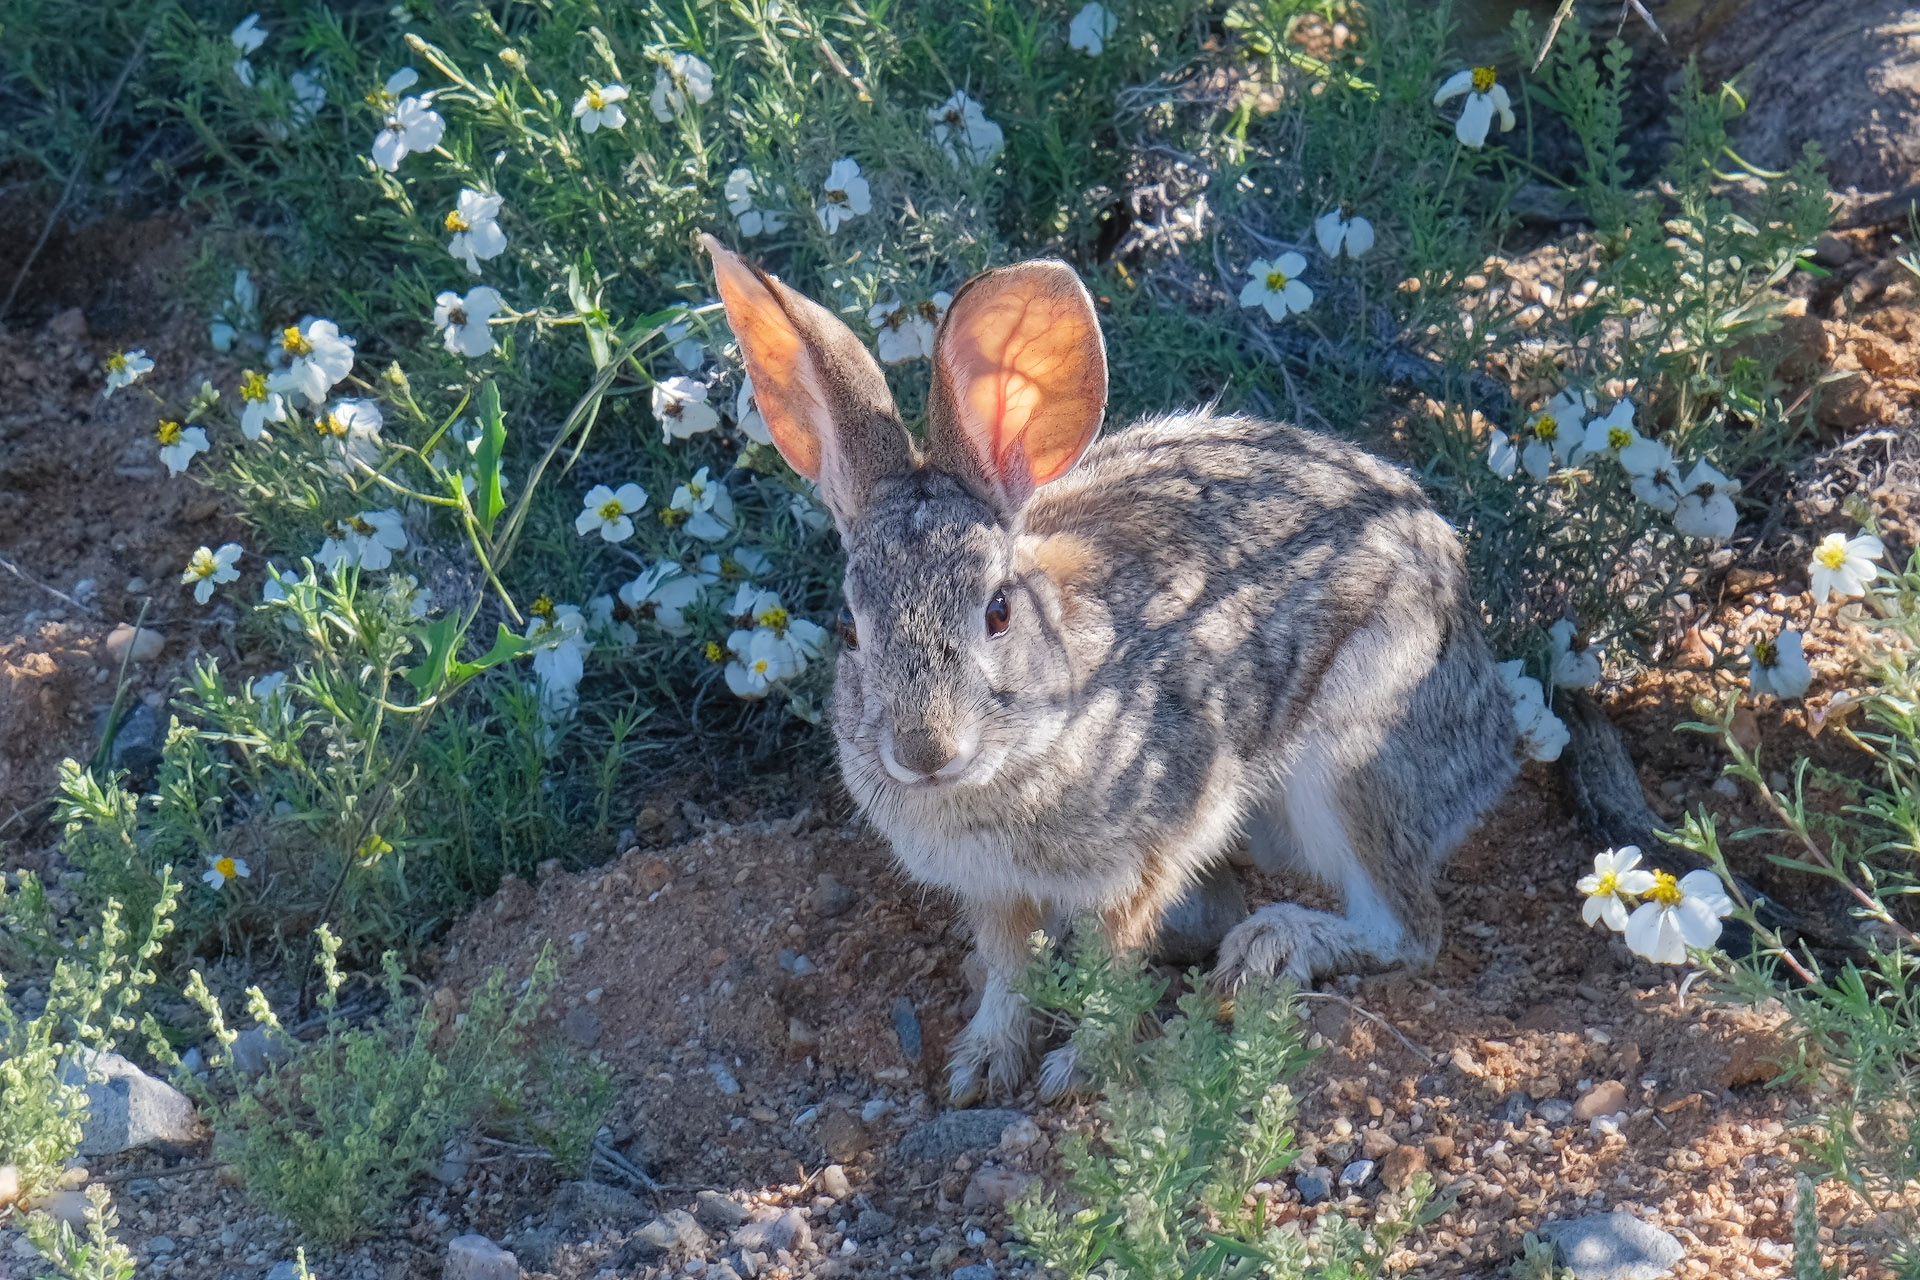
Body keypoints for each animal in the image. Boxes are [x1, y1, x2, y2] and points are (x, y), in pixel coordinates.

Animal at [702, 237, 1512, 1105]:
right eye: (850, 628)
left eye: (998, 612)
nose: (925, 751)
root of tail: (1493, 740)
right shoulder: (990, 890)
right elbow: (1008, 967)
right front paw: (980, 1067)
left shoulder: (1141, 863)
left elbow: (1111, 970)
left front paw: (1077, 1071)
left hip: (1351, 761)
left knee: (1407, 927)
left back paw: (1271, 944)